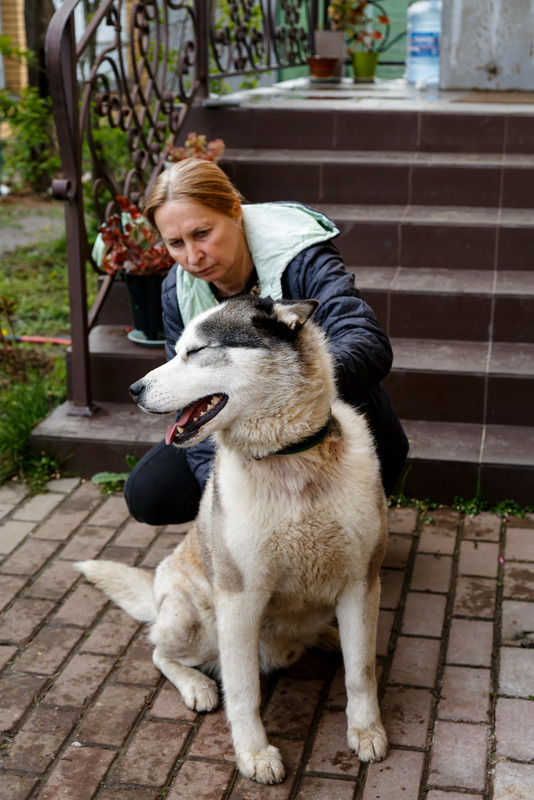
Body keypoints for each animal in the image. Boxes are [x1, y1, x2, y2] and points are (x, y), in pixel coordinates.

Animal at [77, 296, 390, 784]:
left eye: (197, 351)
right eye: (176, 349)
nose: (133, 389)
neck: (289, 462)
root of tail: (157, 593)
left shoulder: (361, 583)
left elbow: (360, 671)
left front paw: (366, 731)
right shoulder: (240, 601)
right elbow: (243, 690)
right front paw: (254, 753)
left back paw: (325, 637)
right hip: (193, 622)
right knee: (158, 651)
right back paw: (198, 685)